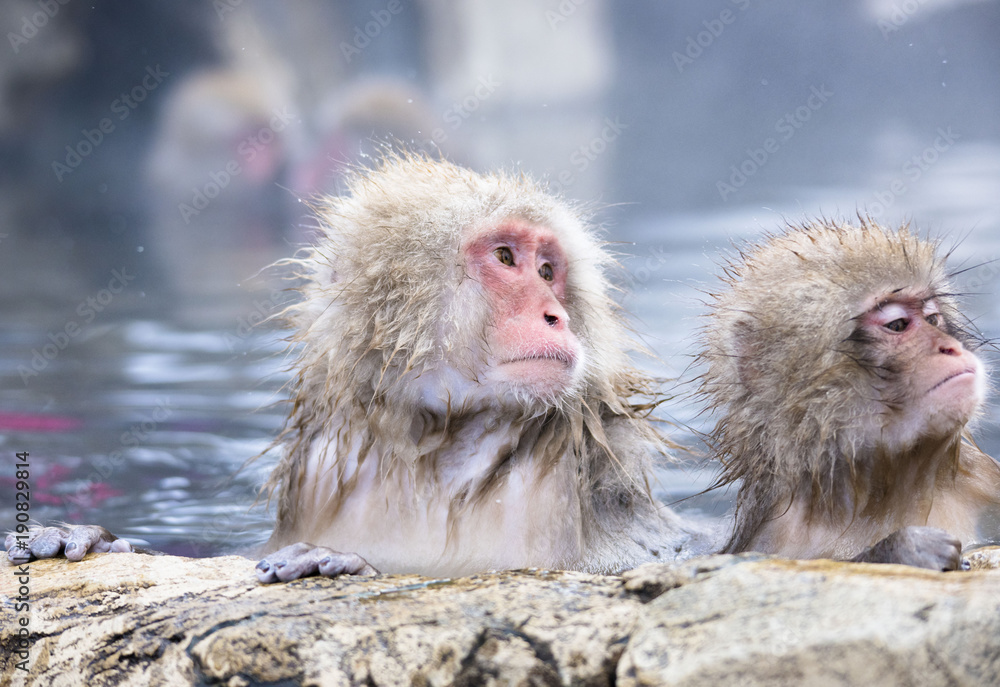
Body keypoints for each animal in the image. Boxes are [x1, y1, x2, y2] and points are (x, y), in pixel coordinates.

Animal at [7, 154, 709, 581]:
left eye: (546, 270)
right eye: (507, 258)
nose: (555, 316)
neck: (440, 450)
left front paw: (335, 563)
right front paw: (81, 538)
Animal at [697, 218, 1000, 571]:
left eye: (933, 319)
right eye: (897, 325)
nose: (951, 347)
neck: (882, 491)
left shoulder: (984, 475)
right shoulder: (773, 534)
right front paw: (905, 548)